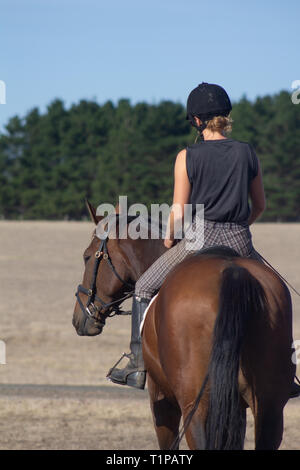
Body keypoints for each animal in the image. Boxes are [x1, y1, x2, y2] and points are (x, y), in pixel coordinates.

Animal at [72, 203, 296, 452]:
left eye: (86, 257)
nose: (79, 318)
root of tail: (233, 272)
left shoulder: (161, 398)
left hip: (196, 408)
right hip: (269, 408)